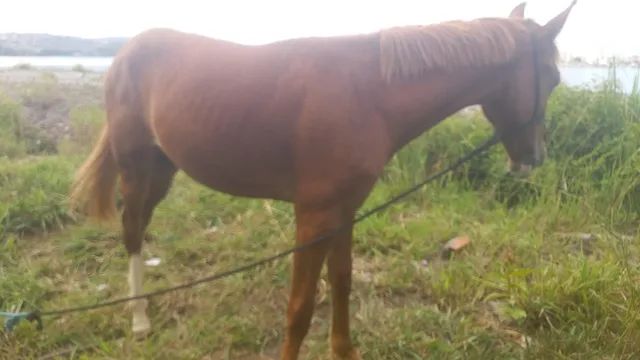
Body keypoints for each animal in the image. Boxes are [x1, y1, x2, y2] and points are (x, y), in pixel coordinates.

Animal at [69, 2, 576, 360]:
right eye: (551, 77)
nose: (535, 158)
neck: (367, 95)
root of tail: (128, 50)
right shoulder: (312, 217)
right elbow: (300, 306)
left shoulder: (345, 210)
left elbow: (343, 282)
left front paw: (345, 350)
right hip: (136, 168)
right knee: (132, 231)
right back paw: (139, 319)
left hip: (163, 167)